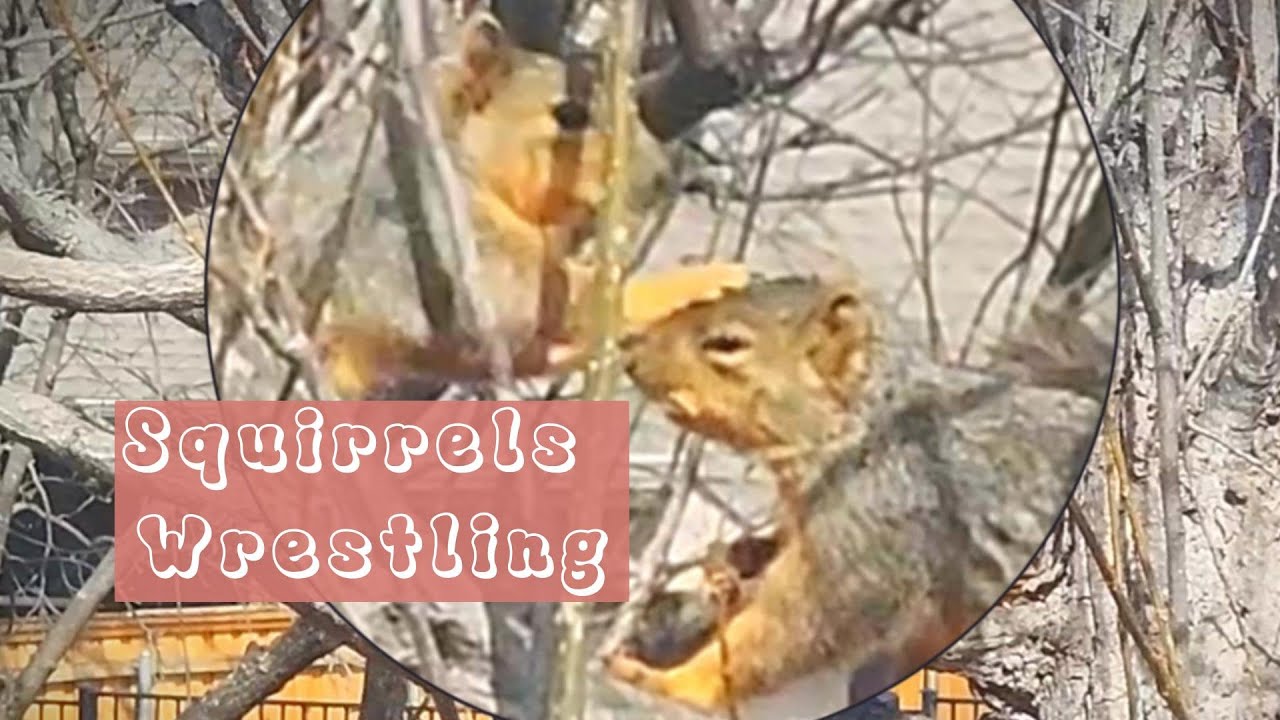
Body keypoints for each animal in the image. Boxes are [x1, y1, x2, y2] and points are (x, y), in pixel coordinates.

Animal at [315, 6, 749, 397]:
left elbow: (539, 346)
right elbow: (554, 302)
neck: (460, 158)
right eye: (570, 114)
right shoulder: (439, 226)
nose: (660, 178)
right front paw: (711, 280)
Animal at [605, 275, 1105, 714]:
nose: (629, 345)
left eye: (728, 343)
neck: (861, 431)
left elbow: (787, 632)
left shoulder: (872, 532)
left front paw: (668, 681)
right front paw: (736, 559)